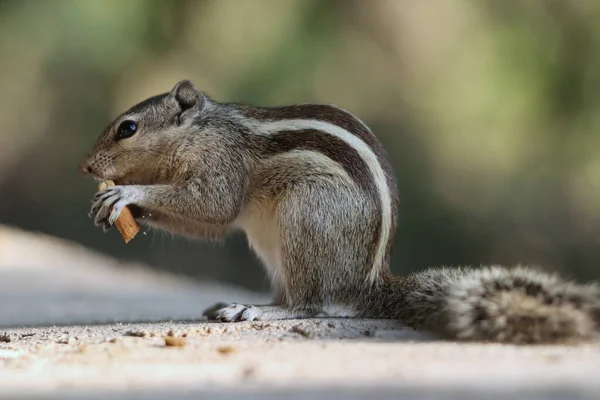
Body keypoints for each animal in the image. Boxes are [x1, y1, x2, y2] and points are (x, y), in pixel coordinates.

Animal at [81, 80, 600, 344]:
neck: (202, 129)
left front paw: (127, 193)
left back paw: (256, 309)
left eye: (128, 128)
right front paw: (112, 203)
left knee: (308, 304)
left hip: (306, 217)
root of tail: (365, 282)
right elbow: (206, 223)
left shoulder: (221, 163)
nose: (86, 166)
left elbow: (214, 205)